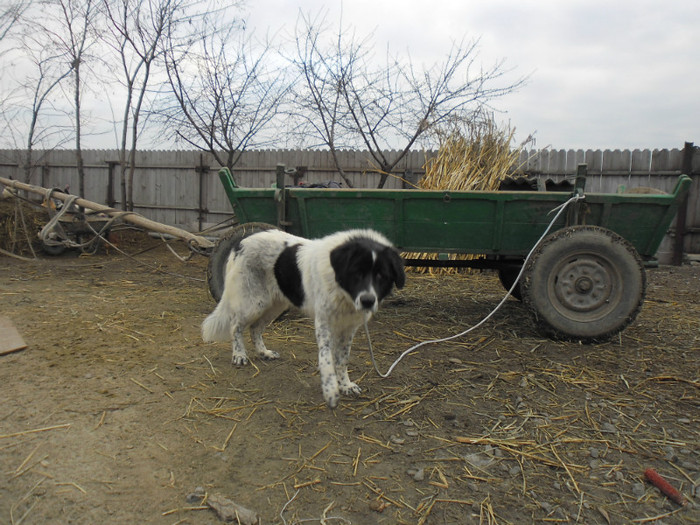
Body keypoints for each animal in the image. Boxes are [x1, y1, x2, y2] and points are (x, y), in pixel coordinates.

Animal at [200, 227, 404, 408]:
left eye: (382, 276)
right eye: (356, 273)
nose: (368, 301)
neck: (343, 293)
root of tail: (240, 242)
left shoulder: (348, 330)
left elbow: (341, 360)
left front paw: (345, 384)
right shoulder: (324, 324)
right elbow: (327, 359)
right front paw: (330, 390)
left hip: (275, 304)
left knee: (255, 328)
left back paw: (264, 352)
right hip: (253, 302)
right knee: (235, 325)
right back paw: (239, 354)